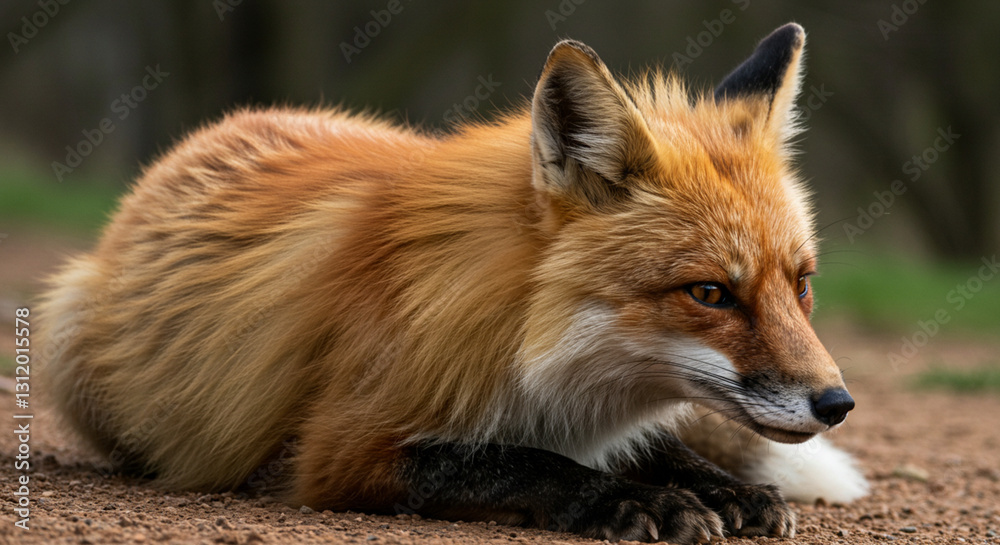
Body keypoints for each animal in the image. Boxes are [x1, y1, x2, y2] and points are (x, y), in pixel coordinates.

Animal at [38, 23, 868, 543]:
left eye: (801, 283)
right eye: (709, 293)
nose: (837, 403)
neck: (522, 332)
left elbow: (642, 446)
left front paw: (714, 484)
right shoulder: (338, 450)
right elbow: (516, 460)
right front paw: (624, 497)